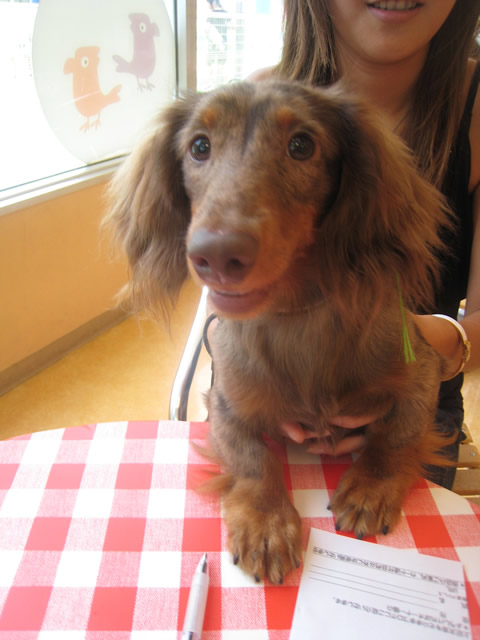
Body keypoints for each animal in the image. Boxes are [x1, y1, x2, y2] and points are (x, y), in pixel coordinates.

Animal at [105, 80, 455, 584]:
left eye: (302, 145)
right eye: (199, 147)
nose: (214, 255)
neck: (296, 317)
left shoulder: (424, 371)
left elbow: (397, 434)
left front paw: (370, 486)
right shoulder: (224, 405)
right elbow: (255, 459)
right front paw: (267, 524)